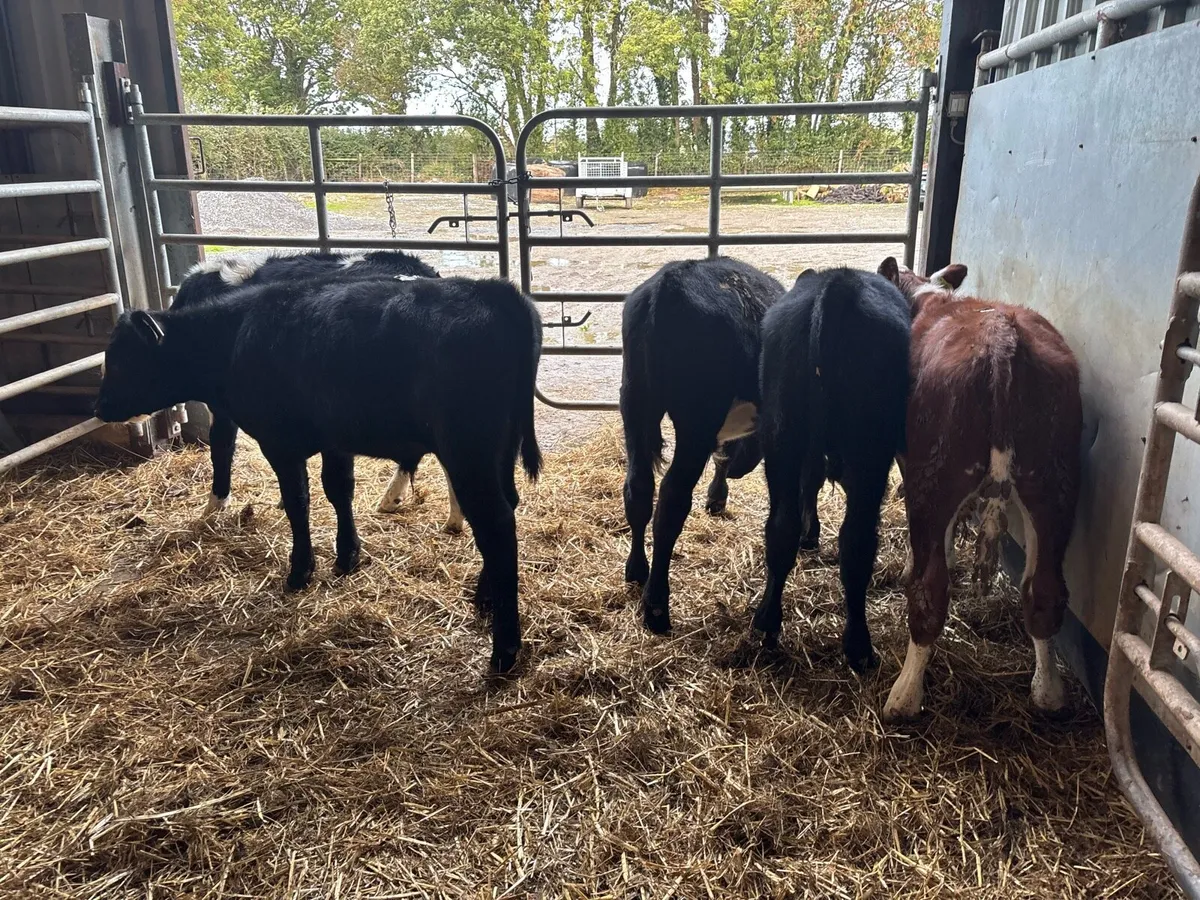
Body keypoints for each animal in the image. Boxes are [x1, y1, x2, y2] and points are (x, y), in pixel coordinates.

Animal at [621, 257, 786, 634]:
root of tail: (668, 284)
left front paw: (717, 495)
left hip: (635, 401)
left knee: (638, 489)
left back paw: (637, 569)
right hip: (695, 421)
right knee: (671, 500)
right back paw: (656, 606)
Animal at [753, 267, 911, 672]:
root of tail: (837, 285)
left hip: (782, 435)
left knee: (783, 527)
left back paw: (768, 621)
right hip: (869, 452)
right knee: (856, 539)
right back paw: (858, 645)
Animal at [878, 257, 1081, 719]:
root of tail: (1003, 336)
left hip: (934, 477)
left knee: (929, 594)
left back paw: (904, 696)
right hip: (1054, 482)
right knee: (1045, 591)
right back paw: (1048, 692)